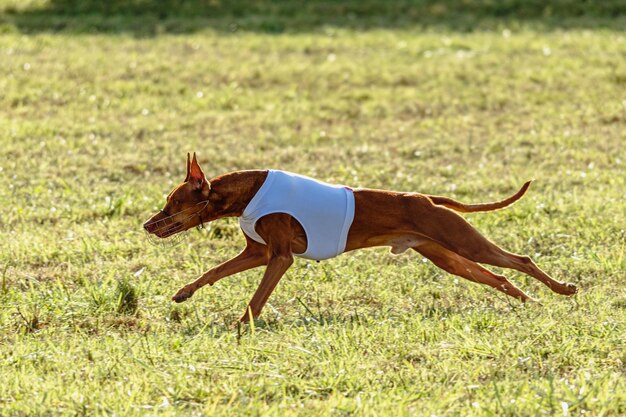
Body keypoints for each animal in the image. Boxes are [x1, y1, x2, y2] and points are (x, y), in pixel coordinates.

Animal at [141, 153, 576, 322]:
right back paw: (530, 302)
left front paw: (240, 325)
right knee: (500, 277)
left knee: (521, 260)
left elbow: (256, 297)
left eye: (172, 203)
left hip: (462, 242)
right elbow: (213, 272)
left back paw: (562, 289)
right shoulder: (258, 254)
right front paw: (184, 293)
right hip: (448, 257)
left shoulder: (279, 257)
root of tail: (425, 197)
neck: (246, 193)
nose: (147, 225)